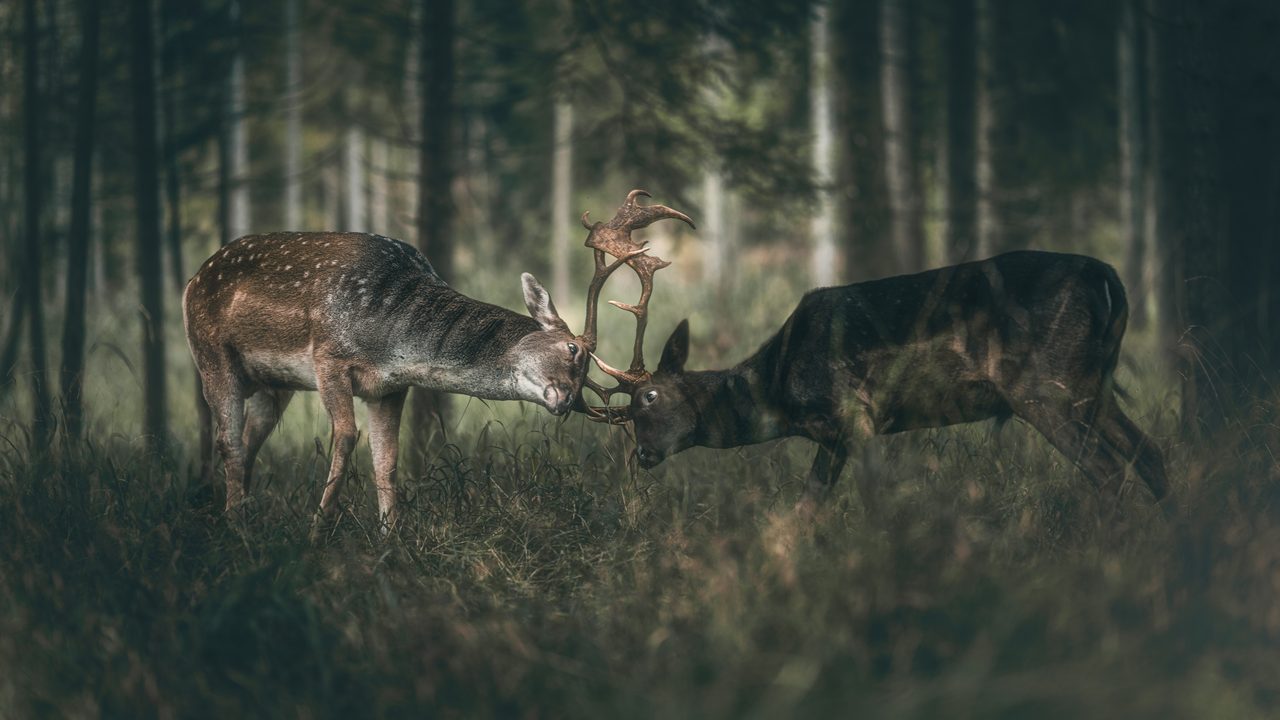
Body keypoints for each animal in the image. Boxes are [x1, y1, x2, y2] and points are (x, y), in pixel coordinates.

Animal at [182, 191, 692, 534]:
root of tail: (193, 279)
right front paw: (318, 527)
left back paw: (242, 513)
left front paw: (391, 539)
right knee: (228, 440)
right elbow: (346, 438)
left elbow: (386, 461)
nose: (567, 400)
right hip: (210, 354)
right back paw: (235, 526)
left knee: (249, 441)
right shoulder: (328, 356)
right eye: (574, 351)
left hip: (274, 385)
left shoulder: (389, 386)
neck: (389, 338)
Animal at [579, 251, 1169, 514]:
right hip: (1094, 383)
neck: (779, 389)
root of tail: (1106, 276)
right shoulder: (832, 436)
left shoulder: (855, 410)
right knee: (1151, 453)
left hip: (1046, 383)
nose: (643, 455)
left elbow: (875, 493)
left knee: (1109, 472)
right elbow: (808, 504)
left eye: (650, 395)